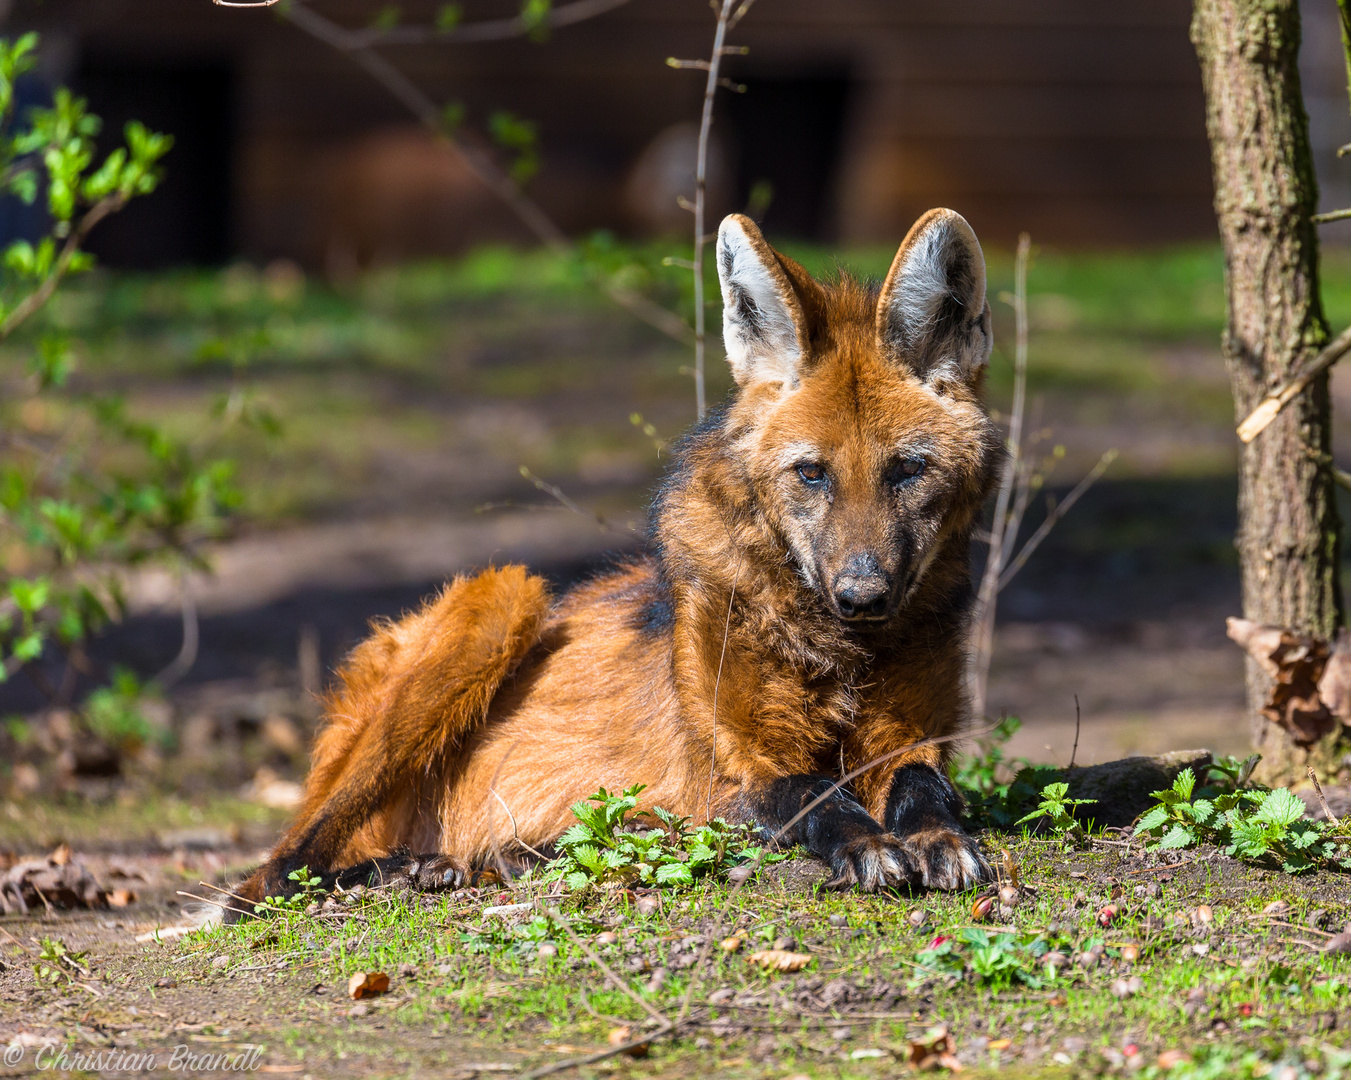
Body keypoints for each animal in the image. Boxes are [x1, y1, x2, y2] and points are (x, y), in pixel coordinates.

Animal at [235, 205, 1005, 913]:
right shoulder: (737, 765)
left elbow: (925, 784)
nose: (862, 596)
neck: (836, 648)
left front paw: (938, 839)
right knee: (274, 873)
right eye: (811, 474)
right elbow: (812, 791)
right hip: (503, 595)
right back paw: (409, 869)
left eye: (906, 470)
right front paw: (868, 843)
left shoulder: (911, 739)